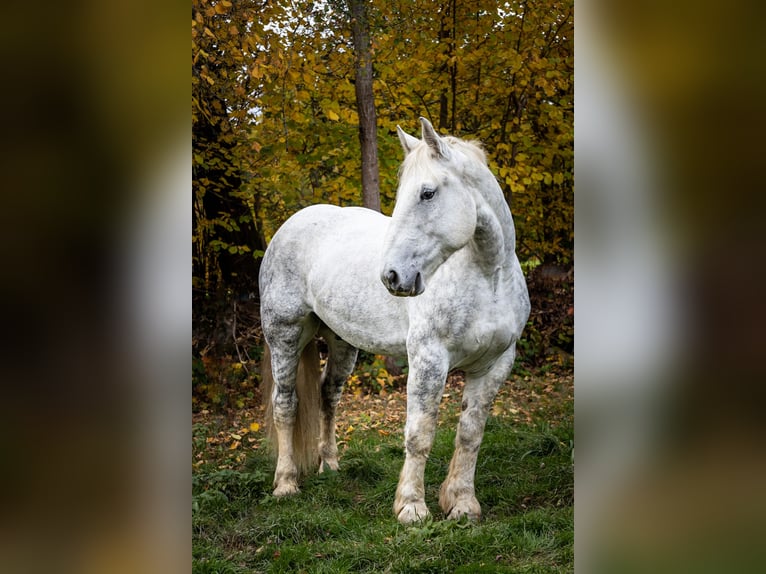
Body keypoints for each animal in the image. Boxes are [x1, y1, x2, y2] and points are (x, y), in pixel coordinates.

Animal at [259, 117, 530, 524]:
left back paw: (329, 466)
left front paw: (462, 504)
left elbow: (470, 434)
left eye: (427, 193)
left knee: (328, 394)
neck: (489, 278)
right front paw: (412, 508)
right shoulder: (428, 359)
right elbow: (419, 434)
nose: (391, 276)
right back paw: (286, 483)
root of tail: (289, 225)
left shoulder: (495, 364)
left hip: (342, 343)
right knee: (285, 404)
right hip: (285, 335)